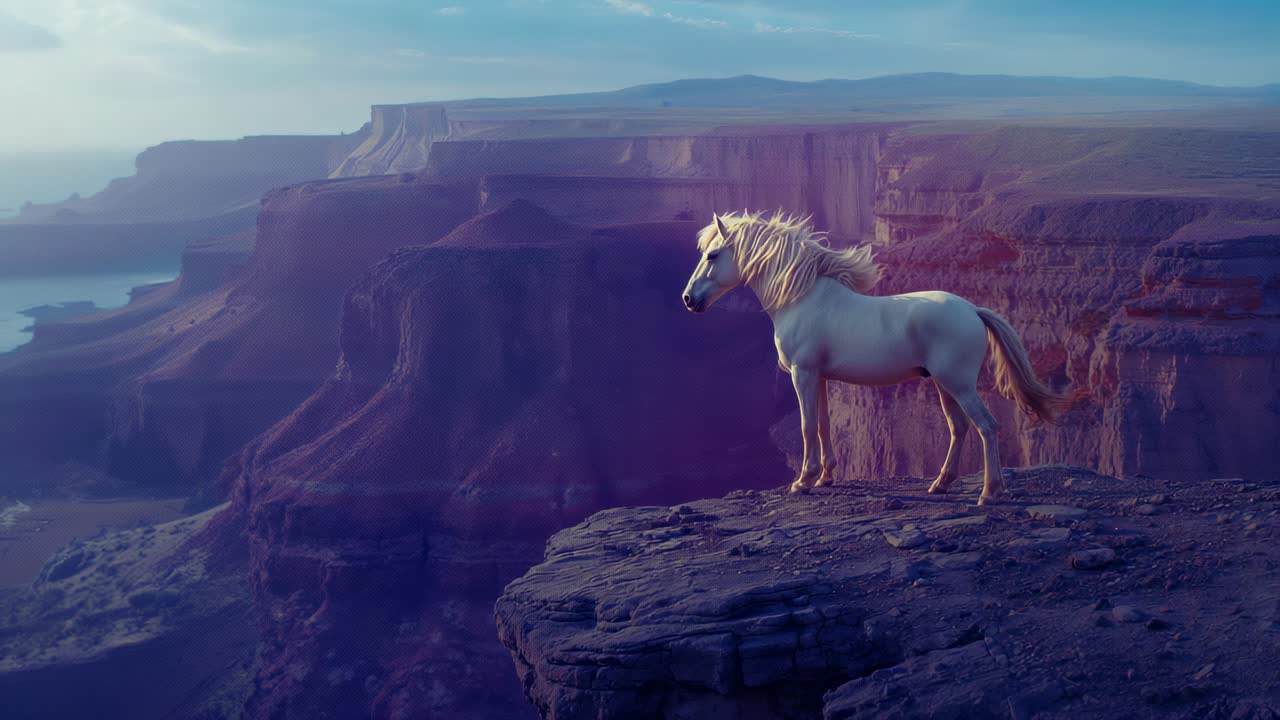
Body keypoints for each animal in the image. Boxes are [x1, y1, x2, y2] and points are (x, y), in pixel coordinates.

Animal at [681, 210, 1065, 505]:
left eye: (712, 255)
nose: (688, 299)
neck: (802, 298)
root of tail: (973, 309)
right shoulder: (820, 377)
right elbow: (823, 424)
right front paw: (825, 477)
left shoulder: (803, 374)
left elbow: (806, 425)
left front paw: (802, 481)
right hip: (945, 385)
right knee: (960, 428)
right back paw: (940, 484)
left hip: (959, 385)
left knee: (987, 426)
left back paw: (989, 493)